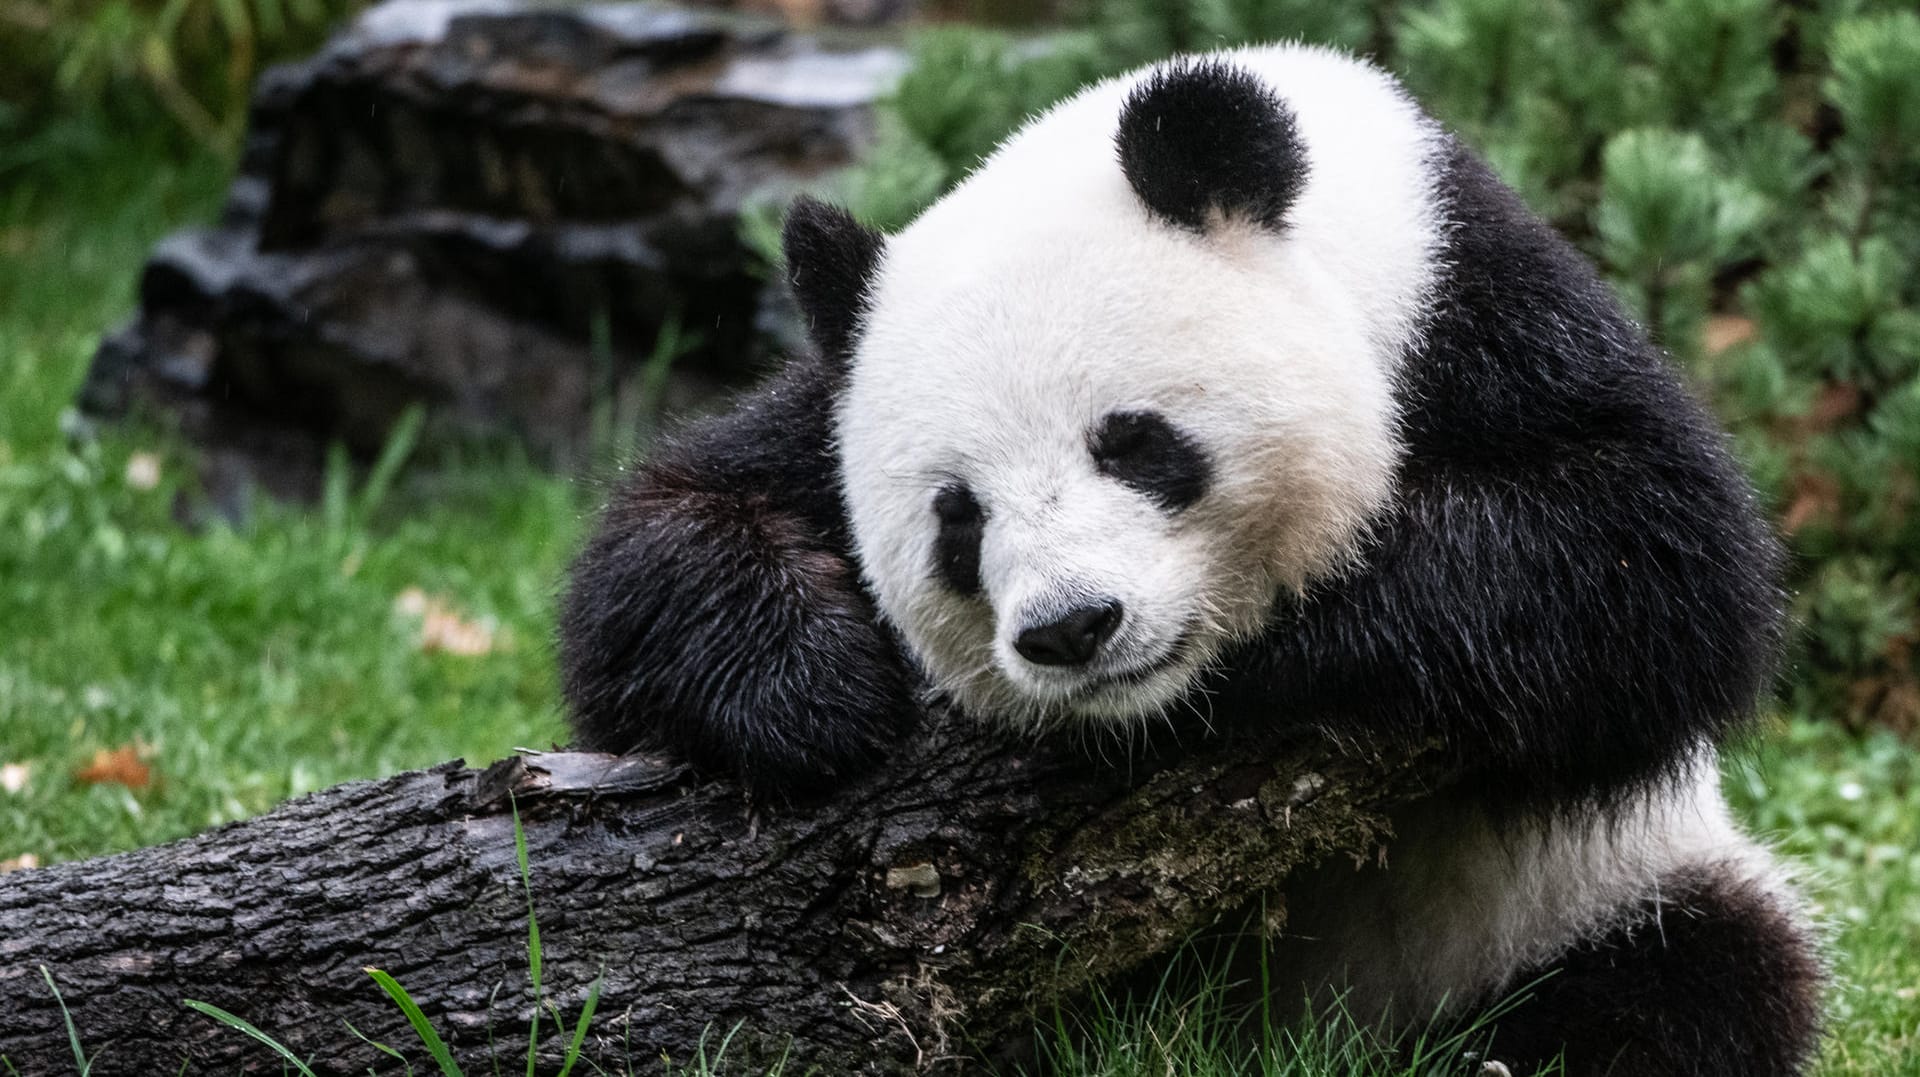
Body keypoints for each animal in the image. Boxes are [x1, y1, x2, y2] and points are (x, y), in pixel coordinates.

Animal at [560, 44, 1827, 1075]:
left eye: (1133, 442)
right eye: (958, 519)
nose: (1072, 627)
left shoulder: (1477, 302)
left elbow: (1659, 558)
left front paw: (1305, 632)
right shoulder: (817, 413)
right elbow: (651, 556)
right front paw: (813, 687)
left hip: (1587, 898)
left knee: (1689, 987)